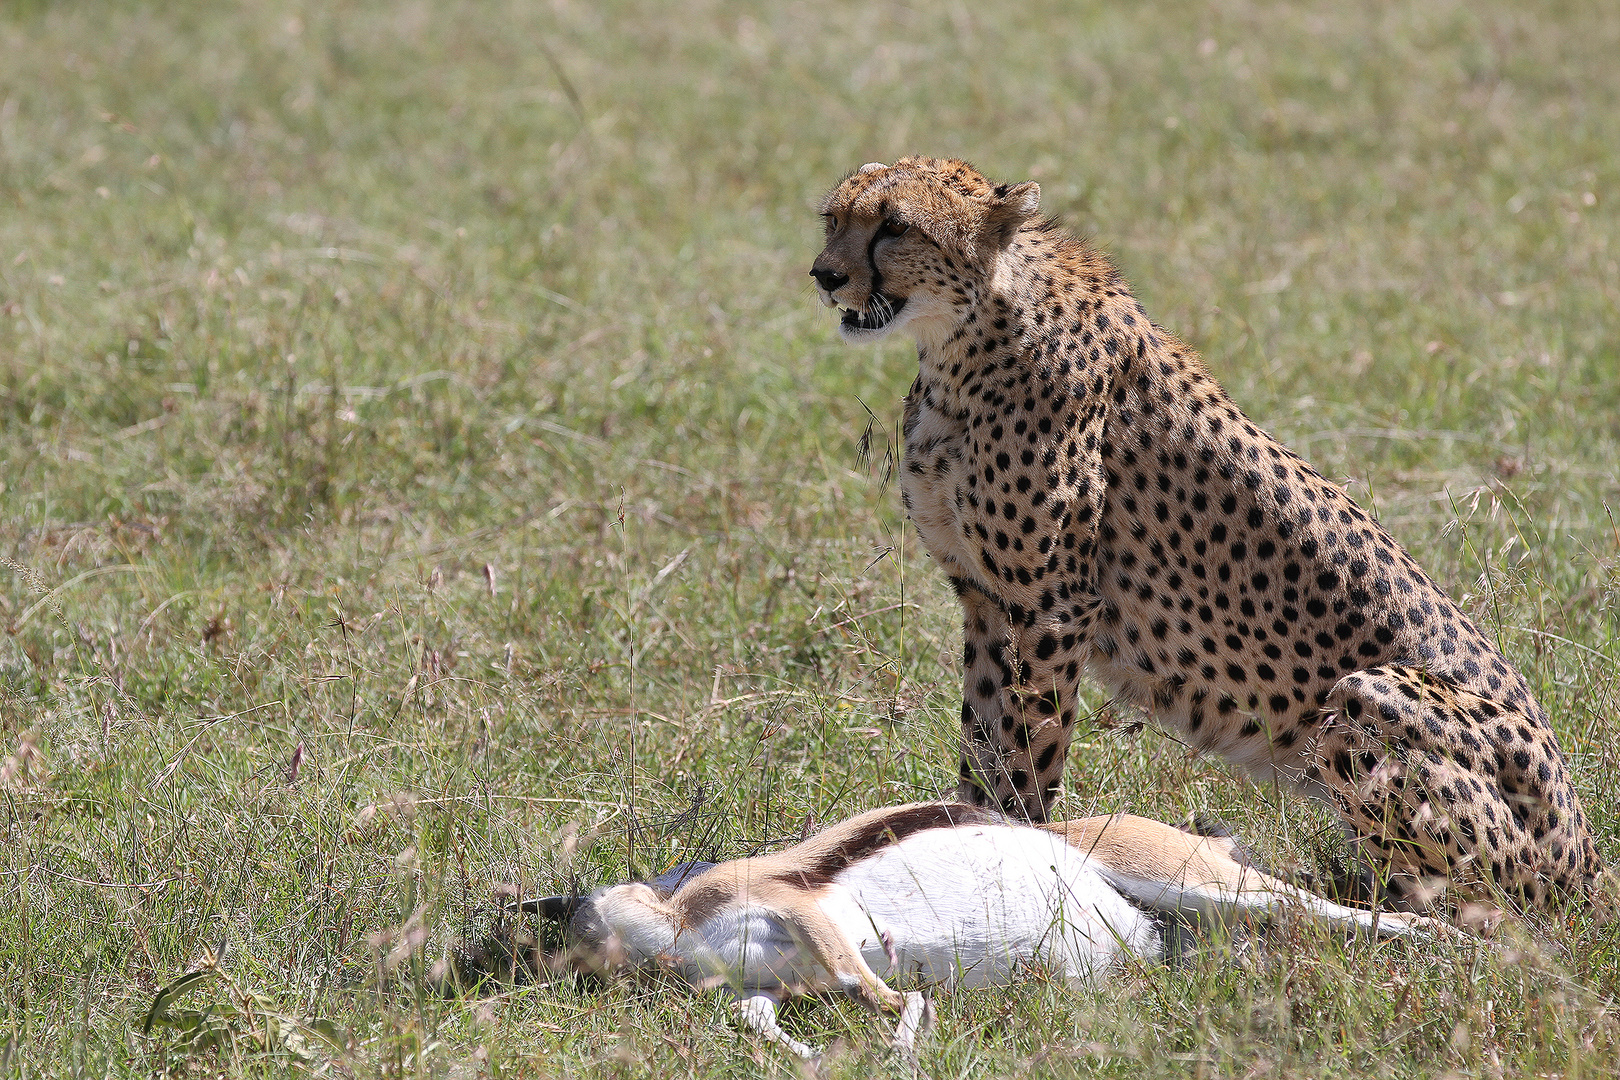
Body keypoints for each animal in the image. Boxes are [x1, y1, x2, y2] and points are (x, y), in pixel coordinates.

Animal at [806, 156, 1594, 906]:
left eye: (895, 227)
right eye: (833, 218)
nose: (825, 275)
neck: (965, 338)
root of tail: (1584, 856)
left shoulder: (1052, 608)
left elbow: (1028, 751)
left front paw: (1014, 854)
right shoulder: (986, 601)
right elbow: (982, 739)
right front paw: (962, 833)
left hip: (1368, 697)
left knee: (1472, 914)